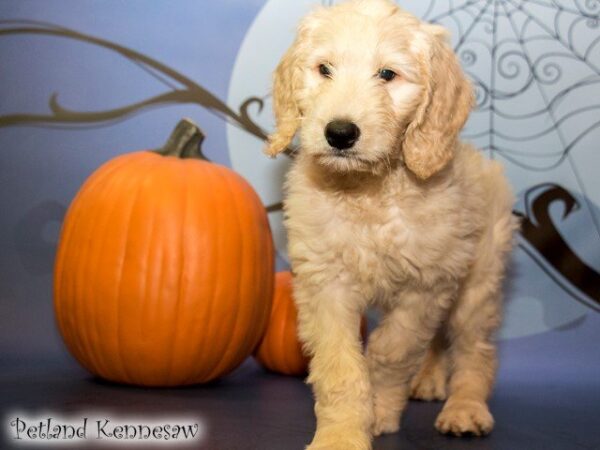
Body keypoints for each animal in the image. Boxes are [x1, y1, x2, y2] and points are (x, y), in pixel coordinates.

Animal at [264, 1, 516, 448]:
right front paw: (342, 434)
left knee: (475, 348)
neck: (369, 191)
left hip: (479, 280)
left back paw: (465, 407)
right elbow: (339, 366)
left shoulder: (426, 284)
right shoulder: (325, 282)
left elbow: (391, 351)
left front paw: (379, 409)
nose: (340, 133)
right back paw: (429, 379)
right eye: (324, 69)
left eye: (386, 74)